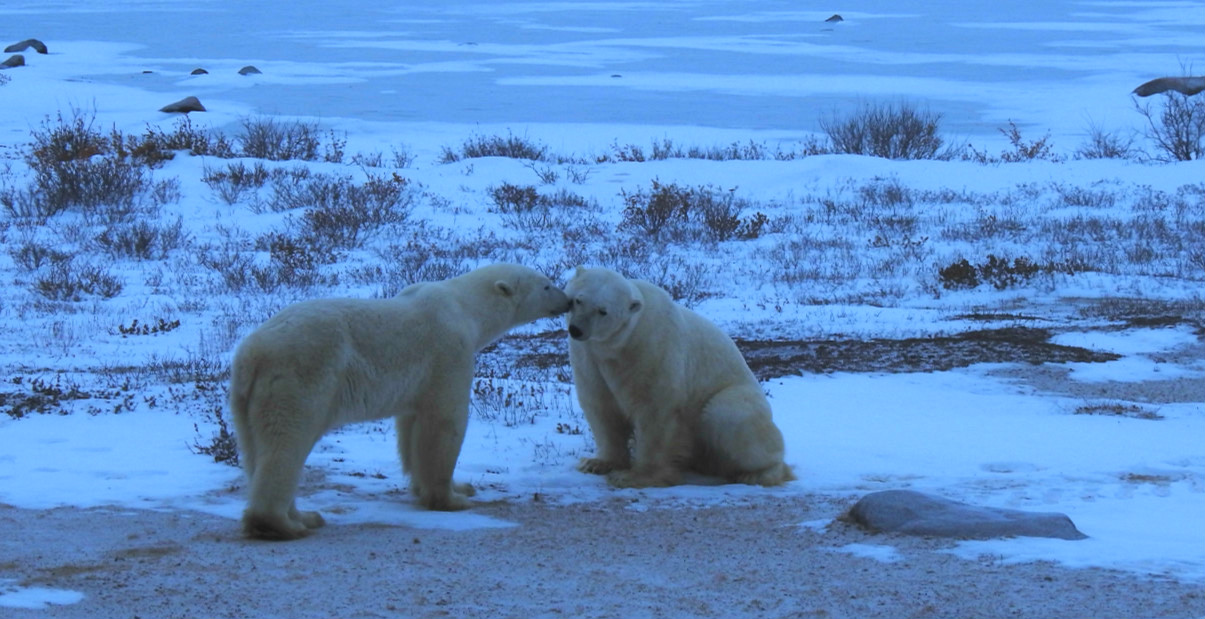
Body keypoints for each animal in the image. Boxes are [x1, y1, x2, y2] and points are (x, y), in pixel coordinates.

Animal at [228, 262, 568, 537]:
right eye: (547, 284)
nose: (567, 301)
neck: (464, 307)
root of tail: (251, 354)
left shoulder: (417, 385)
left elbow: (410, 428)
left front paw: (455, 486)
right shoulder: (448, 353)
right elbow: (443, 423)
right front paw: (450, 498)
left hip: (247, 397)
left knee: (253, 447)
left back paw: (306, 516)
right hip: (300, 377)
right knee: (286, 443)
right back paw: (283, 524)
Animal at [566, 264, 795, 486]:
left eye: (603, 311)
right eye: (578, 300)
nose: (576, 329)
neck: (618, 345)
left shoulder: (651, 350)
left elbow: (655, 410)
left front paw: (634, 476)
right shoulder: (589, 360)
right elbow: (601, 407)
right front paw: (596, 463)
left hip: (734, 399)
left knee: (728, 415)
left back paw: (757, 474)